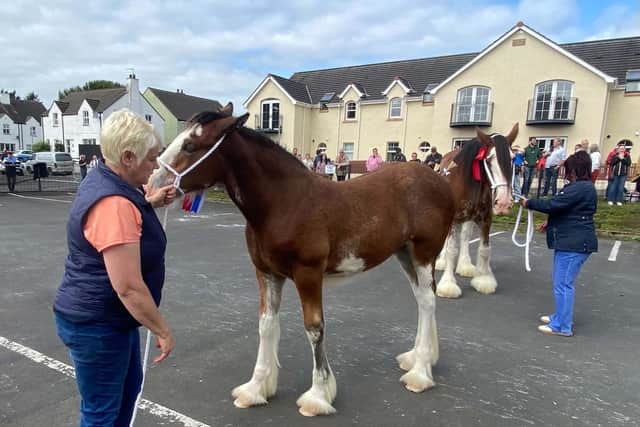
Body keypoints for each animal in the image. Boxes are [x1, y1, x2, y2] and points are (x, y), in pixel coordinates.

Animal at [150, 103, 456, 417]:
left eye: (190, 145)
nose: (153, 185)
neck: (285, 202)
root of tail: (439, 181)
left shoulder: (308, 274)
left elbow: (314, 328)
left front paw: (318, 396)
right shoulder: (266, 273)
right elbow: (266, 325)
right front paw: (255, 389)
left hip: (424, 253)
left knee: (428, 301)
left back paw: (419, 374)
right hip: (404, 253)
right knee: (421, 300)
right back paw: (417, 358)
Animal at [433, 125, 518, 299]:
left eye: (513, 158)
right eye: (488, 159)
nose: (504, 202)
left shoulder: (486, 219)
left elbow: (485, 249)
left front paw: (484, 279)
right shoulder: (454, 218)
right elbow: (452, 249)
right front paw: (448, 285)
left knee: (465, 237)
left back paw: (465, 265)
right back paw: (442, 262)